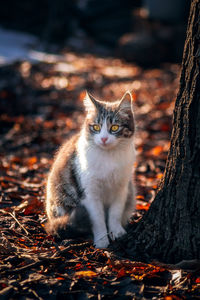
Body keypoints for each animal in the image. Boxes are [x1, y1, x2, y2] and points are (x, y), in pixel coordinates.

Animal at [45, 91, 136, 248]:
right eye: (96, 127)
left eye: (114, 127)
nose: (104, 139)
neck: (108, 156)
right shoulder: (89, 193)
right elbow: (97, 219)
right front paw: (102, 241)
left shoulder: (122, 188)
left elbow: (115, 213)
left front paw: (117, 231)